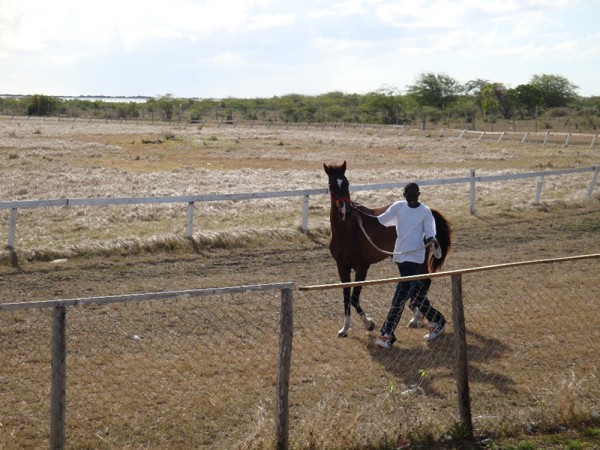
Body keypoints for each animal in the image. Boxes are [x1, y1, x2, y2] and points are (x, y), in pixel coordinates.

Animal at [324, 162, 450, 338]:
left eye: (347, 183)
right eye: (331, 185)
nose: (345, 210)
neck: (348, 231)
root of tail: (430, 211)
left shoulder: (362, 268)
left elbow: (354, 298)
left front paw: (369, 323)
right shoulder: (342, 266)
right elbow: (346, 297)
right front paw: (344, 328)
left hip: (421, 260)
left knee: (425, 281)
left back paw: (417, 318)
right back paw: (418, 315)